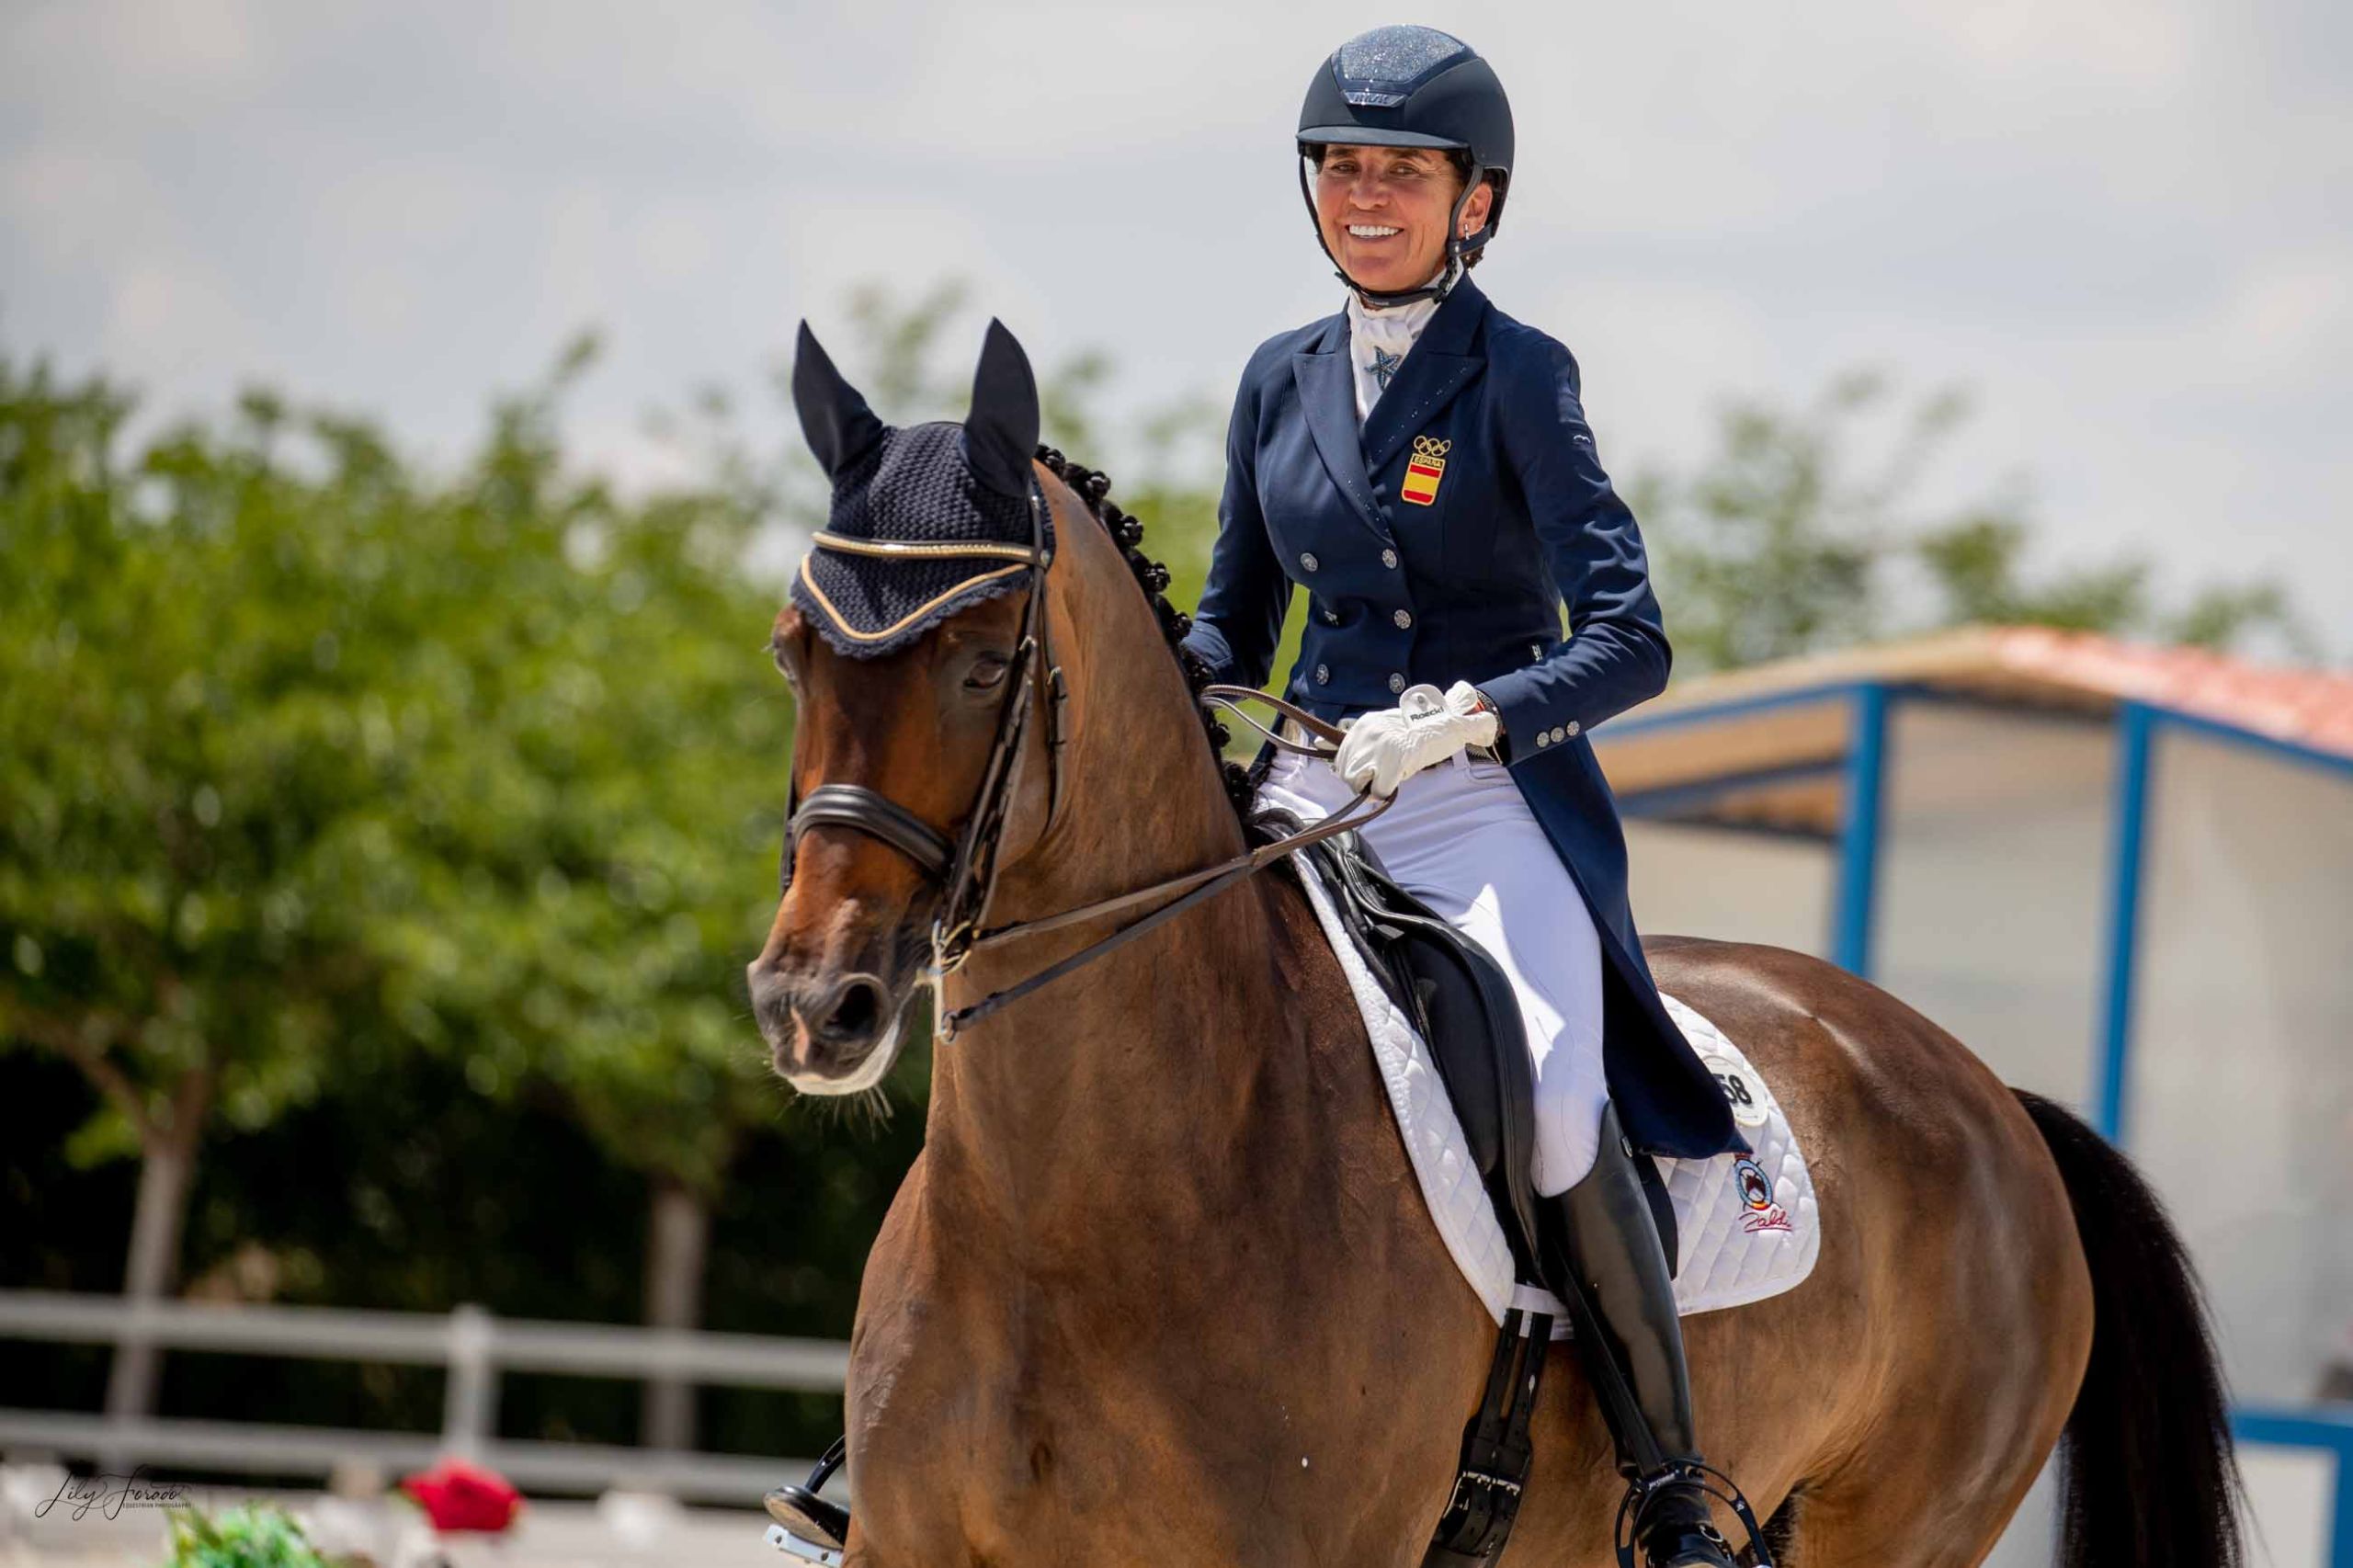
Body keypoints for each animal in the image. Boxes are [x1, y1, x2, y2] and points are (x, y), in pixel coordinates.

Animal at [753, 320, 2240, 1562]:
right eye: (792, 654)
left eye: (982, 666)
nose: (812, 1002)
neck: (1074, 1217)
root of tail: (1993, 1098)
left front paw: (1407, 732)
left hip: (1893, 1531)